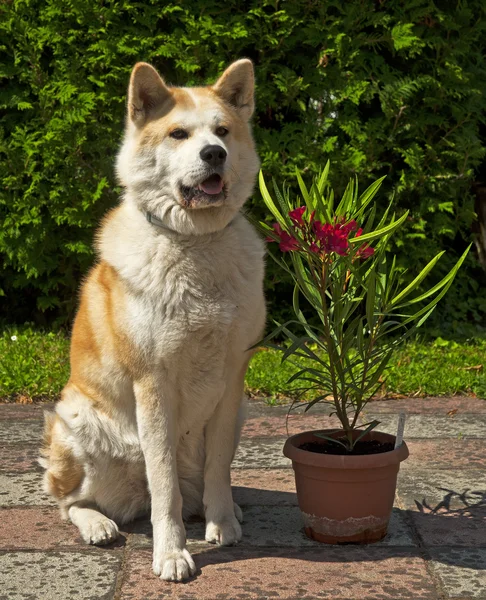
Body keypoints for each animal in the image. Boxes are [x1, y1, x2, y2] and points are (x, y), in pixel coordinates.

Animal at [39, 59, 266, 580]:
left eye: (223, 130)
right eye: (178, 133)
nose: (214, 153)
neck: (196, 245)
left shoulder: (232, 381)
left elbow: (220, 468)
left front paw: (223, 525)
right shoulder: (152, 383)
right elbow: (163, 484)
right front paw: (171, 554)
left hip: (237, 416)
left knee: (194, 486)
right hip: (76, 420)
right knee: (70, 500)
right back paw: (98, 525)